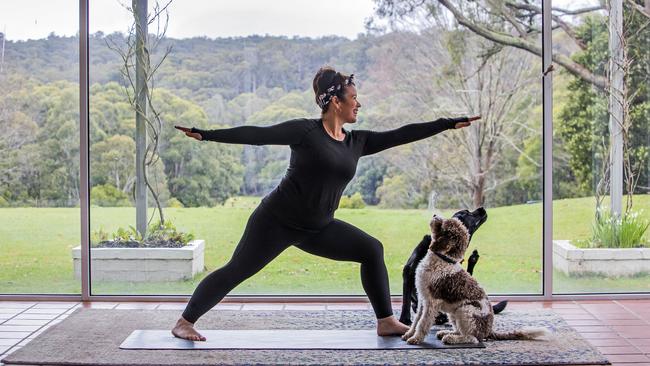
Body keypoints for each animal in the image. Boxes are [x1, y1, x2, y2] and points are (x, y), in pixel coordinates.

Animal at [402, 213, 548, 344]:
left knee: (472, 338)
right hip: (454, 313)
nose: (434, 215)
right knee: (461, 331)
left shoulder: (431, 302)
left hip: (466, 310)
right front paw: (409, 333)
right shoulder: (423, 299)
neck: (443, 260)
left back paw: (451, 338)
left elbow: (423, 322)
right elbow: (416, 320)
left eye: (444, 225)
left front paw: (415, 339)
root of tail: (488, 331)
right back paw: (447, 333)